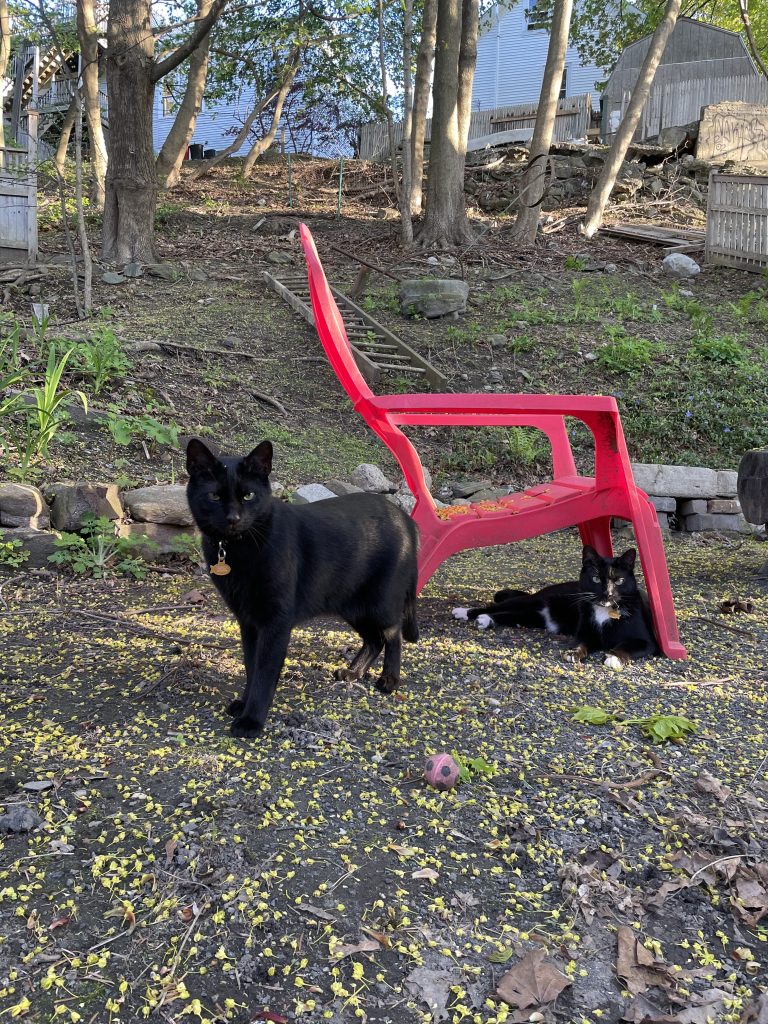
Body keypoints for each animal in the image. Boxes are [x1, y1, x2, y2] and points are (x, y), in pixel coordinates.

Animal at [188, 438, 421, 737]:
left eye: (248, 496)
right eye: (214, 497)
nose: (233, 518)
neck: (238, 549)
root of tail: (406, 518)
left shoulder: (275, 622)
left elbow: (264, 672)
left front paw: (252, 719)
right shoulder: (248, 622)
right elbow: (251, 666)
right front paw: (244, 703)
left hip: (379, 601)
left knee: (393, 634)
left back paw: (389, 679)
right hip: (352, 605)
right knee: (374, 639)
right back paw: (353, 673)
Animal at [456, 548, 663, 667]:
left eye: (619, 580)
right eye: (596, 578)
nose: (608, 594)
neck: (605, 611)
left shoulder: (647, 641)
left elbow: (625, 646)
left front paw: (613, 657)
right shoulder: (586, 633)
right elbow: (580, 643)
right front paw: (573, 653)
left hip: (534, 618)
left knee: (509, 615)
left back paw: (487, 621)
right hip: (532, 601)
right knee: (495, 605)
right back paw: (464, 612)